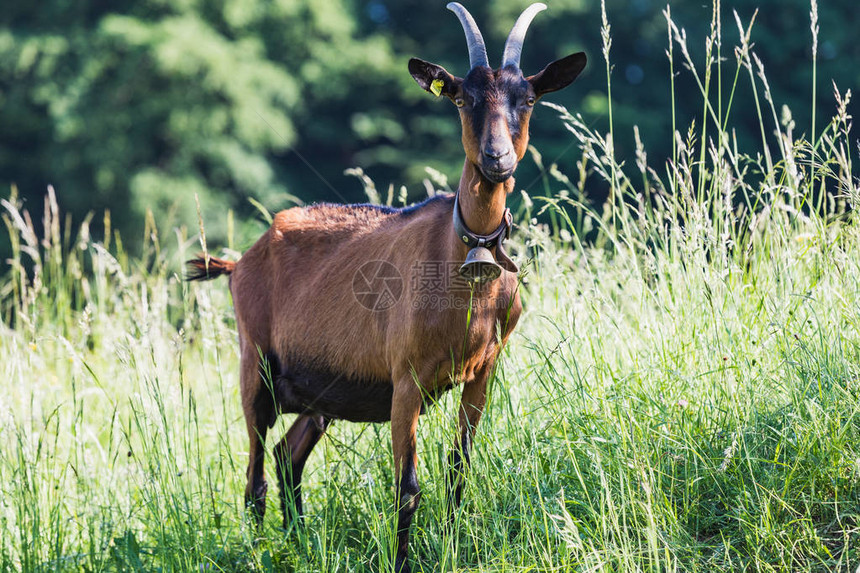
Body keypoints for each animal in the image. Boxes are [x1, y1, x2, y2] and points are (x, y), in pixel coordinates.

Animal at [187, 3, 584, 568]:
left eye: (527, 98)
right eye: (461, 98)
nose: (497, 159)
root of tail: (241, 259)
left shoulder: (483, 372)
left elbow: (458, 472)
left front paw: (455, 549)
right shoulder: (406, 379)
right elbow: (407, 487)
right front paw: (403, 562)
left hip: (320, 392)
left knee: (287, 459)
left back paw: (299, 546)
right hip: (255, 364)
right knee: (254, 478)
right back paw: (262, 552)